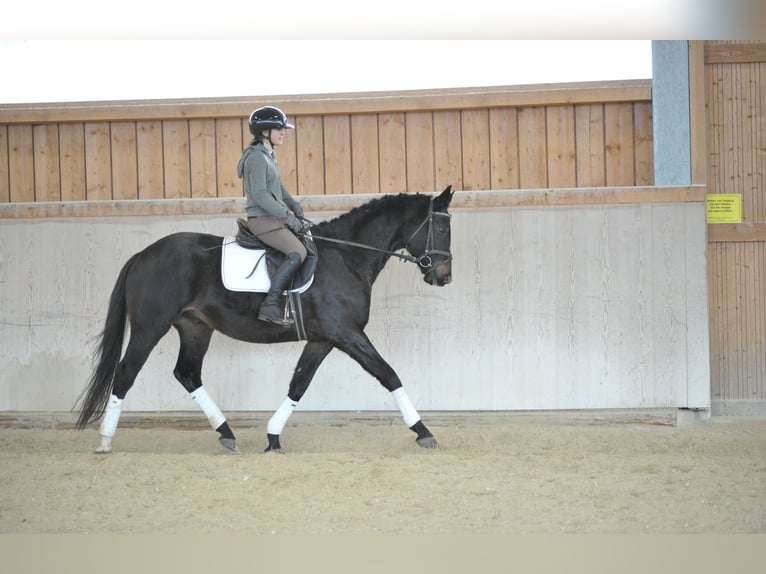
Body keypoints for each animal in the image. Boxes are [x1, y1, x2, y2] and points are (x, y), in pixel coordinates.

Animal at [73, 187, 456, 456]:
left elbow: (298, 384)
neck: (346, 255)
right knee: (126, 373)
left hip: (196, 327)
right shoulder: (346, 333)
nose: (444, 277)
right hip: (150, 327)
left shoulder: (323, 339)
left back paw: (227, 434)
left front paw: (273, 437)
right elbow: (388, 374)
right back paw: (105, 441)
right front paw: (424, 431)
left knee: (187, 374)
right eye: (440, 226)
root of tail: (142, 254)